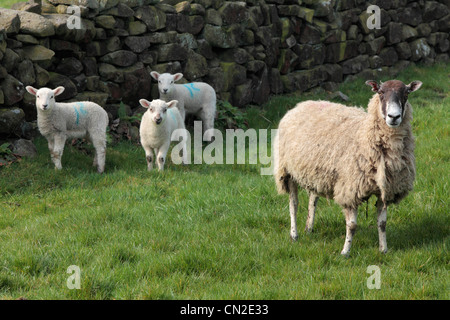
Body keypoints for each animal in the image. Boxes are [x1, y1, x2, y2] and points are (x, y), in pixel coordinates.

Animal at [272, 80, 424, 258]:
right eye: (380, 92)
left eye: (406, 93)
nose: (394, 117)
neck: (364, 135)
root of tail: (301, 104)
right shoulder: (350, 189)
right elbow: (352, 225)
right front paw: (345, 252)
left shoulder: (385, 190)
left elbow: (382, 223)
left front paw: (383, 249)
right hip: (287, 171)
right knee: (294, 204)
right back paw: (294, 235)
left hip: (316, 172)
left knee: (313, 198)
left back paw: (309, 228)